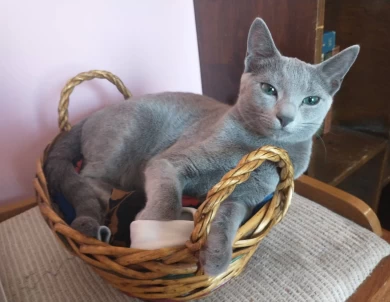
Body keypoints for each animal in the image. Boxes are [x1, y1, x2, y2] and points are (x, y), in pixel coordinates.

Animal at [44, 17, 358, 274]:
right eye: (269, 89)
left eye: (311, 100)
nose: (285, 116)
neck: (257, 147)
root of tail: (89, 116)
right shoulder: (171, 162)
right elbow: (167, 203)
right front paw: (151, 232)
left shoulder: (245, 199)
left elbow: (228, 218)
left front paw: (217, 259)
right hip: (122, 138)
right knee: (87, 180)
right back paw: (90, 220)